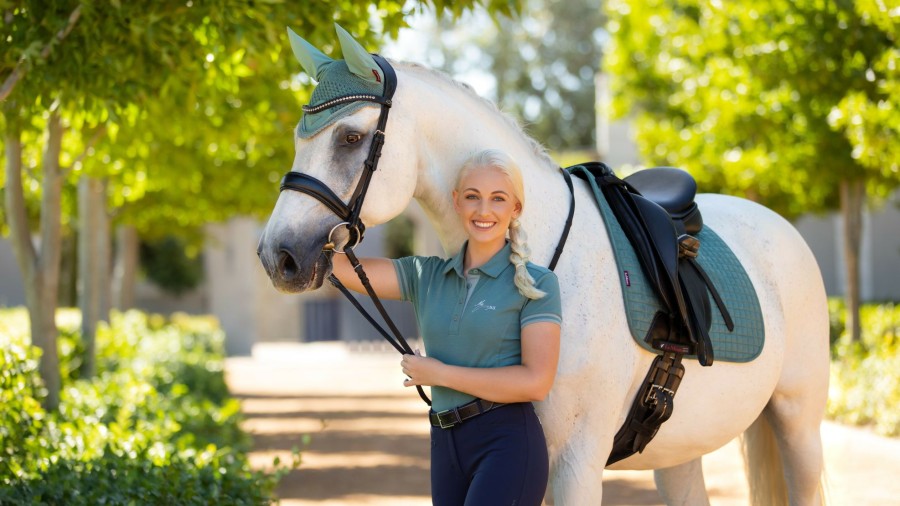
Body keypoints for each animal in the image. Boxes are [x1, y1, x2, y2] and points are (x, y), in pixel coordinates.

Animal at [255, 29, 828, 504]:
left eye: (349, 137)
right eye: (299, 138)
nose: (278, 256)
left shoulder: (577, 461)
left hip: (798, 424)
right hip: (681, 454)